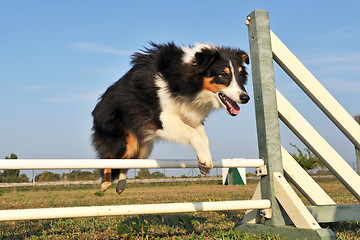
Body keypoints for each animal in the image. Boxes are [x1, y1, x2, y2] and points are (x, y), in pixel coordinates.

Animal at [92, 42, 250, 194]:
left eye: (241, 75)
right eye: (223, 74)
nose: (246, 98)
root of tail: (97, 107)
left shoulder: (192, 116)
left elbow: (204, 137)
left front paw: (204, 162)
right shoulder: (163, 119)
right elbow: (193, 134)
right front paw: (205, 159)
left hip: (143, 148)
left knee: (126, 163)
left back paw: (121, 184)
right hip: (125, 140)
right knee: (110, 158)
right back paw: (105, 183)